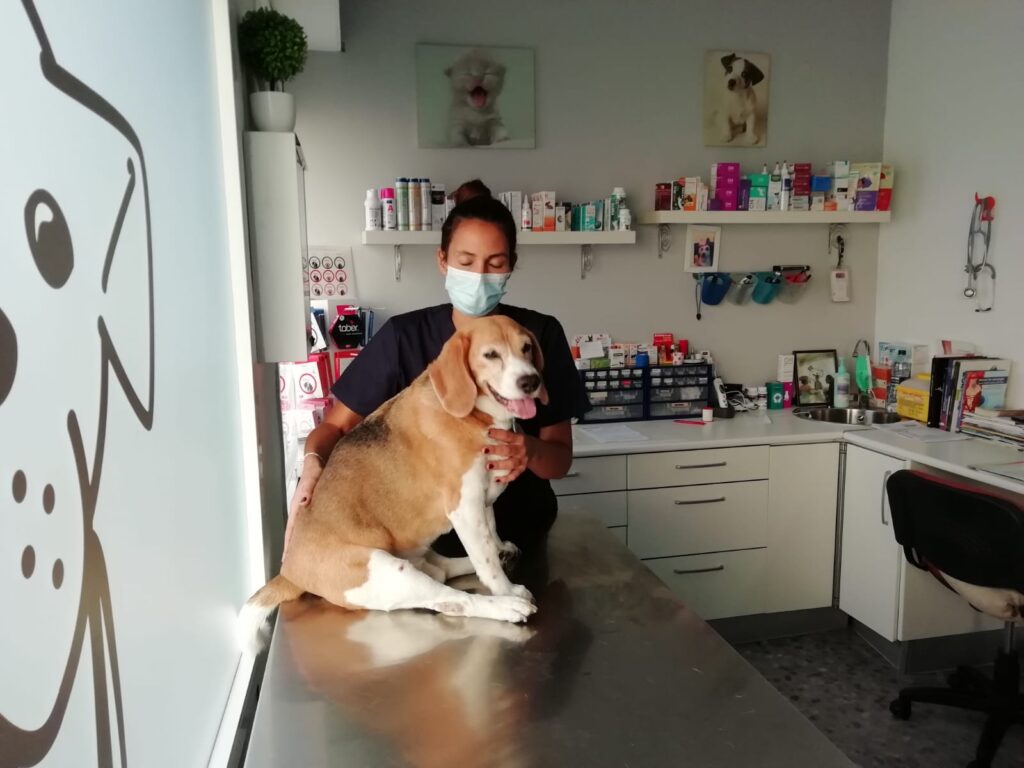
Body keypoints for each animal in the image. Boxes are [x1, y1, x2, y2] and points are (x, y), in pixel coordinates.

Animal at [237, 315, 544, 651]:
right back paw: (504, 606)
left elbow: (490, 536)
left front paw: (500, 549)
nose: (531, 382)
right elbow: (486, 560)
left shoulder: (484, 497)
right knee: (451, 600)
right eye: (491, 355)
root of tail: (289, 573)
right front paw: (506, 589)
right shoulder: (465, 505)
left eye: (526, 348)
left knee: (444, 570)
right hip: (387, 571)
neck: (472, 415)